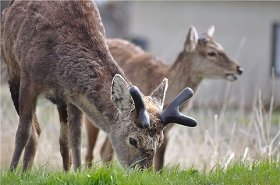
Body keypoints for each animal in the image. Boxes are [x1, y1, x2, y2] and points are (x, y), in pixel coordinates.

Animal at [0, 0, 197, 171]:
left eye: (160, 140)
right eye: (132, 140)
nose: (143, 172)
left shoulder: (72, 93)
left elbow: (76, 137)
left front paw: (78, 172)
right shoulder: (28, 78)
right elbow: (23, 131)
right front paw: (11, 171)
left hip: (60, 100)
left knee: (60, 138)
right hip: (12, 68)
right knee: (35, 131)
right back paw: (23, 171)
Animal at [83, 25, 243, 170]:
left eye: (222, 47)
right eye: (211, 53)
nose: (238, 69)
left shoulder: (166, 132)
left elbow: (160, 165)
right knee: (94, 151)